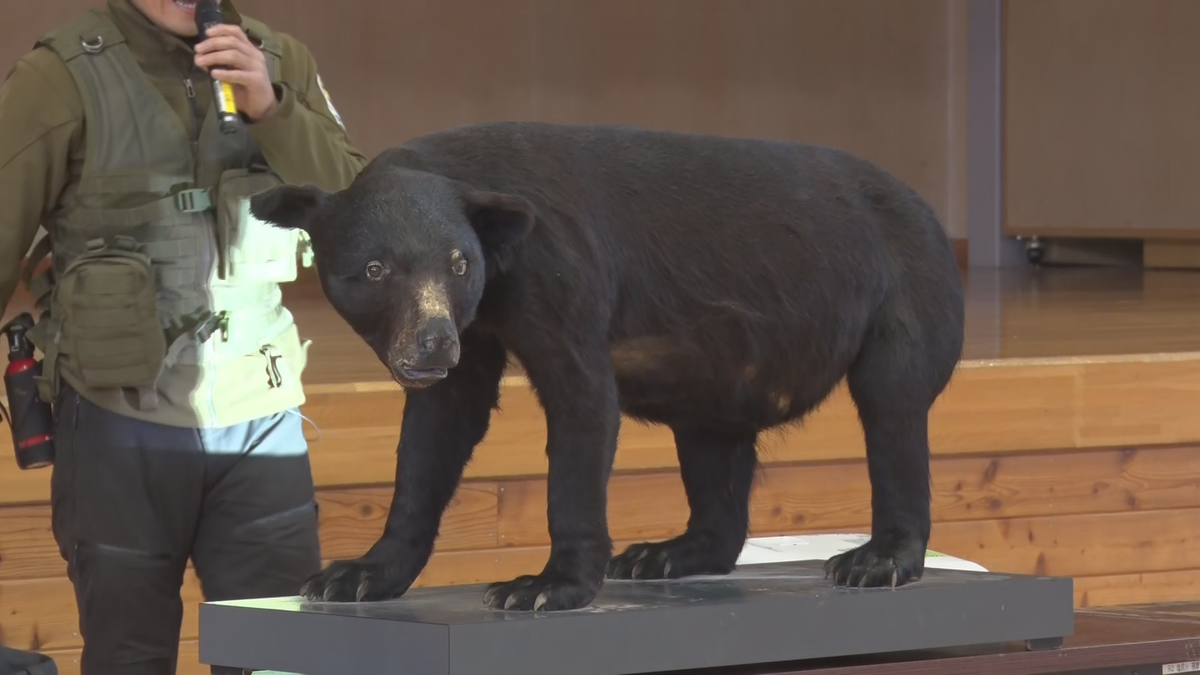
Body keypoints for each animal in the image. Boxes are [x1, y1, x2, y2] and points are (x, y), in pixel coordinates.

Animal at [248, 120, 966, 613]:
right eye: (374, 269)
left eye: (457, 263)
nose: (432, 343)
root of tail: (932, 214)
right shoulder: (475, 328)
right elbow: (436, 434)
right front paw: (354, 575)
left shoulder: (556, 275)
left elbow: (582, 405)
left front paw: (542, 586)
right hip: (719, 367)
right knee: (714, 450)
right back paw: (663, 553)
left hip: (904, 291)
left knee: (893, 407)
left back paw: (874, 561)